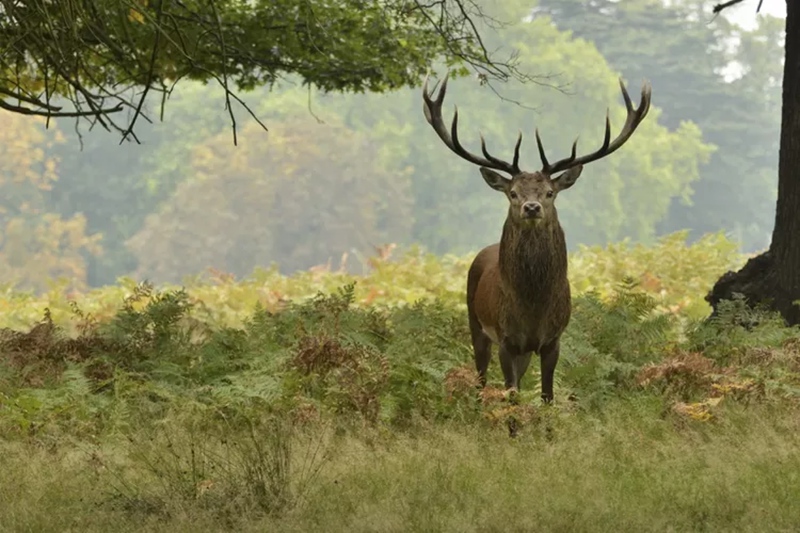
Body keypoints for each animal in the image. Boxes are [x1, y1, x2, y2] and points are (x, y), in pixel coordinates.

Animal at [422, 72, 651, 405]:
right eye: (512, 193)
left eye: (550, 192)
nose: (532, 207)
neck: (533, 305)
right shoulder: (506, 339)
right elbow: (512, 395)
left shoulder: (553, 340)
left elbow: (546, 396)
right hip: (475, 322)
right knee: (480, 377)